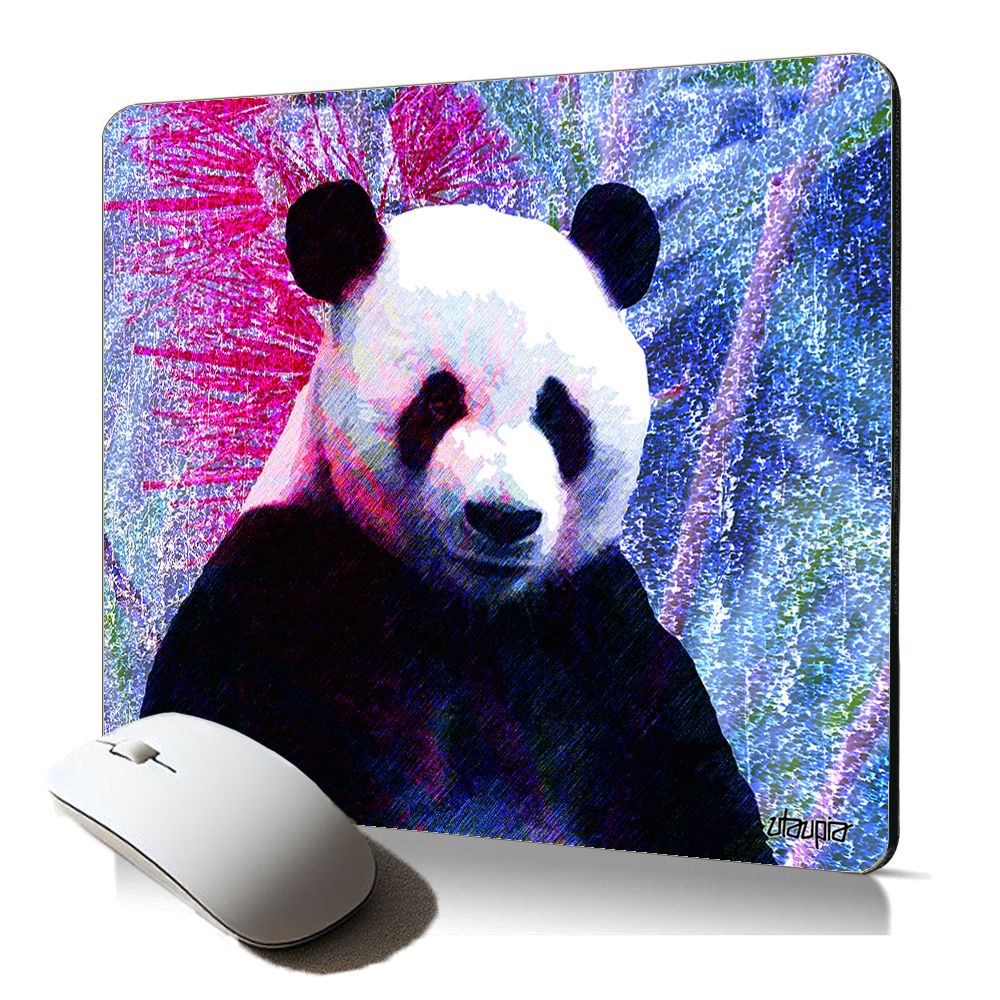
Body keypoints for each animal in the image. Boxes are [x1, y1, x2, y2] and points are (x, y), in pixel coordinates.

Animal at [142, 180, 774, 864]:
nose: (503, 518)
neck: (469, 608)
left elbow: (695, 774)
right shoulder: (283, 581)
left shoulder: (596, 619)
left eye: (557, 410)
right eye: (439, 399)